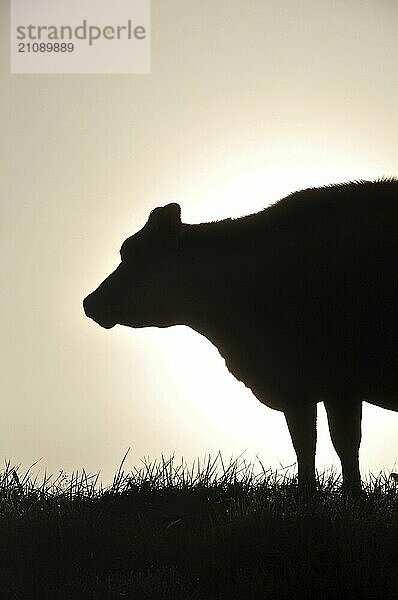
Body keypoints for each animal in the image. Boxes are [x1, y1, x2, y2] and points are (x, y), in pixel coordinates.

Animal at [84, 177, 398, 492]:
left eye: (134, 255)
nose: (89, 302)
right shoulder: (312, 387)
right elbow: (315, 446)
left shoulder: (328, 384)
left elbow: (335, 444)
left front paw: (338, 495)